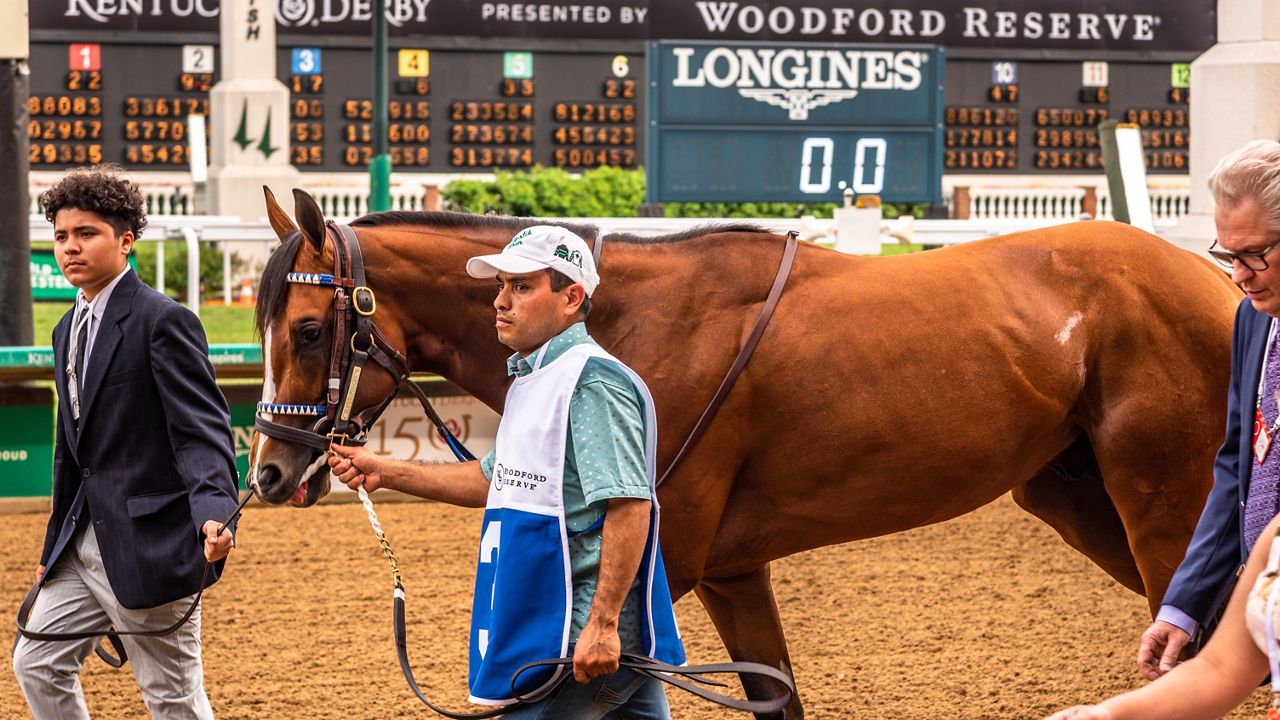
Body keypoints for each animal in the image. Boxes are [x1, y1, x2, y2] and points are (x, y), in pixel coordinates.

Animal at [252, 188, 1239, 712]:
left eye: (308, 329)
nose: (270, 468)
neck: (623, 320)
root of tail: (1217, 283)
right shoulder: (732, 572)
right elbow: (777, 695)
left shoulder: (666, 564)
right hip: (1076, 495)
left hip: (1162, 499)